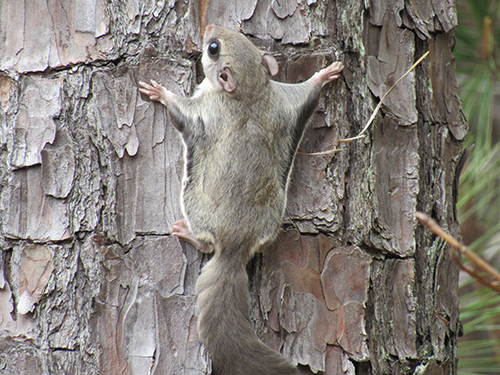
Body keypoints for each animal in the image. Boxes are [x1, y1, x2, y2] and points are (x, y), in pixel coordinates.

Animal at [140, 24, 344, 375]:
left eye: (213, 48)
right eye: (244, 39)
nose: (210, 27)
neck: (248, 91)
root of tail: (234, 248)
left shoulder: (204, 112)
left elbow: (181, 110)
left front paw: (161, 93)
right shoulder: (286, 103)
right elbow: (308, 93)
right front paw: (323, 75)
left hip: (194, 203)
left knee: (204, 242)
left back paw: (187, 233)